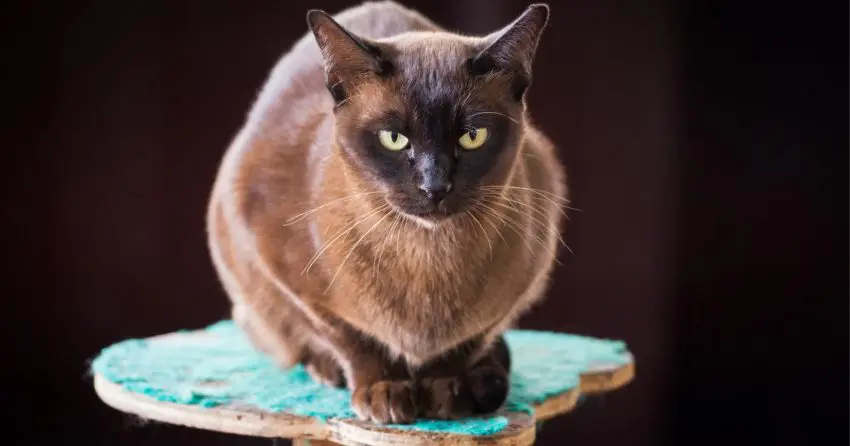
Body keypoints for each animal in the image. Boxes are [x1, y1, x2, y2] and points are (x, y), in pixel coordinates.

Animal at [205, 0, 568, 426]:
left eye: (472, 137)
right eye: (394, 139)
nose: (434, 187)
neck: (426, 257)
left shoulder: (524, 279)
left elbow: (463, 344)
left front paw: (443, 392)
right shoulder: (288, 276)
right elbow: (352, 339)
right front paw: (385, 391)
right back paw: (330, 373)